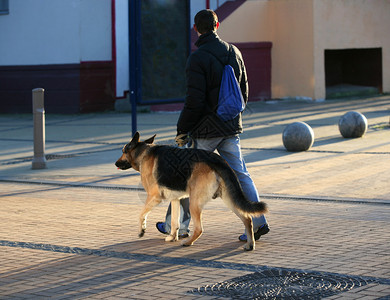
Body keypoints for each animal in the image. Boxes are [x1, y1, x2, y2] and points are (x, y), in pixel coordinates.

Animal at [116, 132, 266, 251]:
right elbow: (175, 222)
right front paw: (172, 237)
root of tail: (218, 160)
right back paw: (250, 244)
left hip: (195, 203)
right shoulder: (175, 199)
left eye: (123, 151)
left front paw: (142, 230)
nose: (116, 164)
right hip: (229, 199)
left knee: (199, 229)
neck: (143, 153)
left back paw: (188, 242)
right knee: (247, 219)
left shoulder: (154, 197)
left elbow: (141, 214)